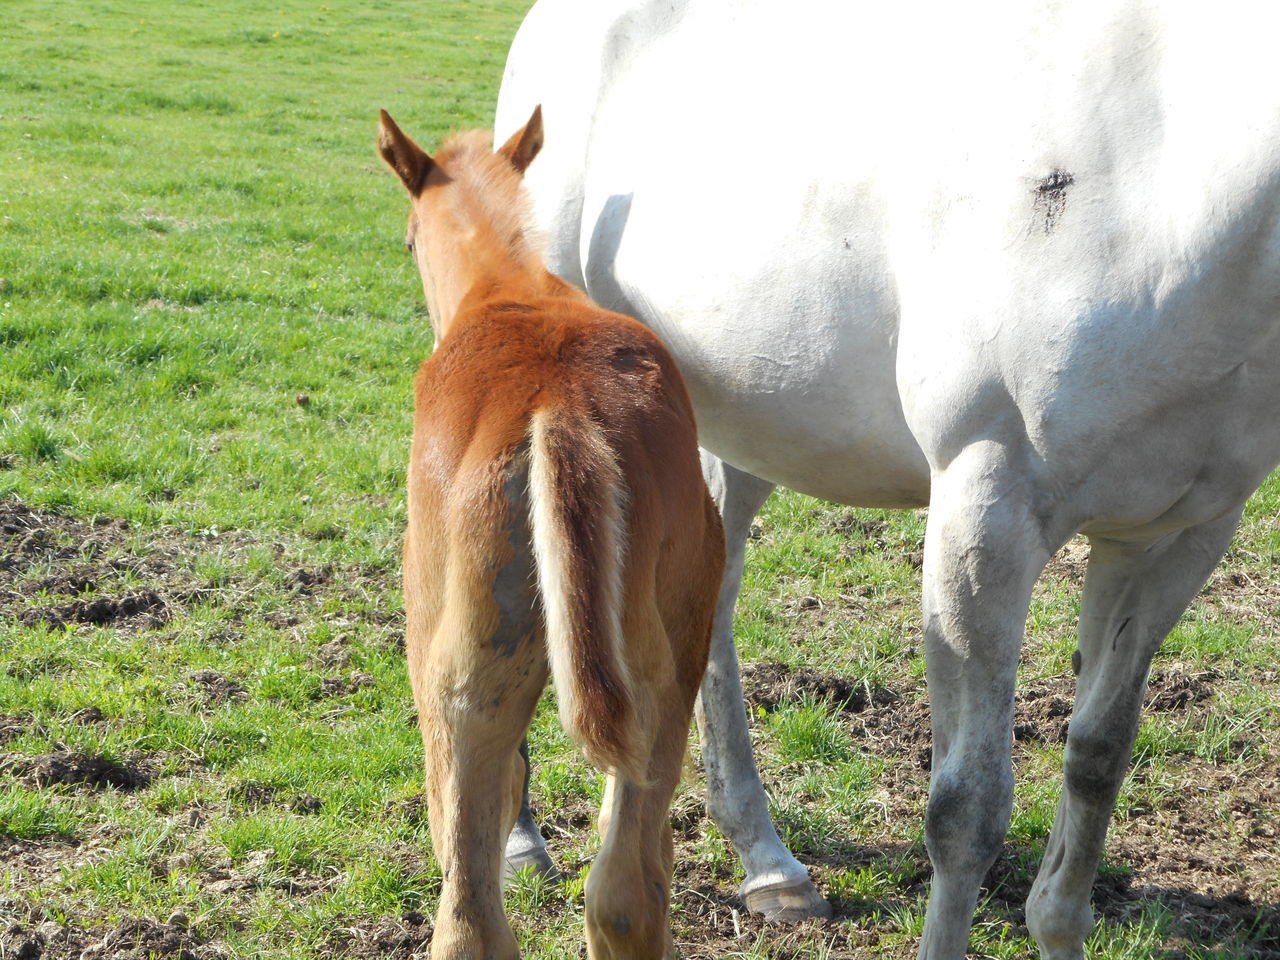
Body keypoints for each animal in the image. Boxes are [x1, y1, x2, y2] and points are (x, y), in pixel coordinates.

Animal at [373, 106, 727, 960]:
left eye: (406, 237)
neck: (510, 291)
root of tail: (556, 409)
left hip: (460, 682)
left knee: (487, 902)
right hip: (630, 674)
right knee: (613, 895)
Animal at [491, 3, 1280, 957]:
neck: (1167, 168)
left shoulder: (1173, 537)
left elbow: (1098, 758)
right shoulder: (985, 516)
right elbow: (966, 810)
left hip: (725, 432)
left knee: (704, 604)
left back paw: (766, 863)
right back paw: (522, 843)